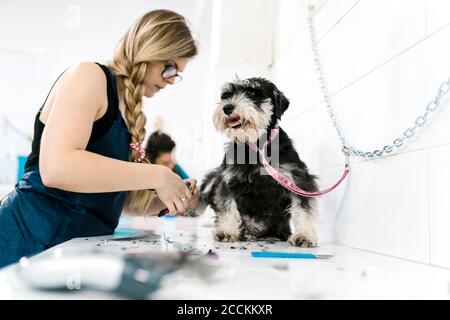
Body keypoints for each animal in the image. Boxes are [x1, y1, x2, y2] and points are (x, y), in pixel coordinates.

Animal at [197, 78, 320, 248]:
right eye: (226, 95)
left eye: (253, 93)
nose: (227, 107)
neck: (255, 147)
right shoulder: (227, 181)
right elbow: (228, 207)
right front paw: (227, 231)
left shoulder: (297, 180)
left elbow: (302, 209)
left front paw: (304, 236)